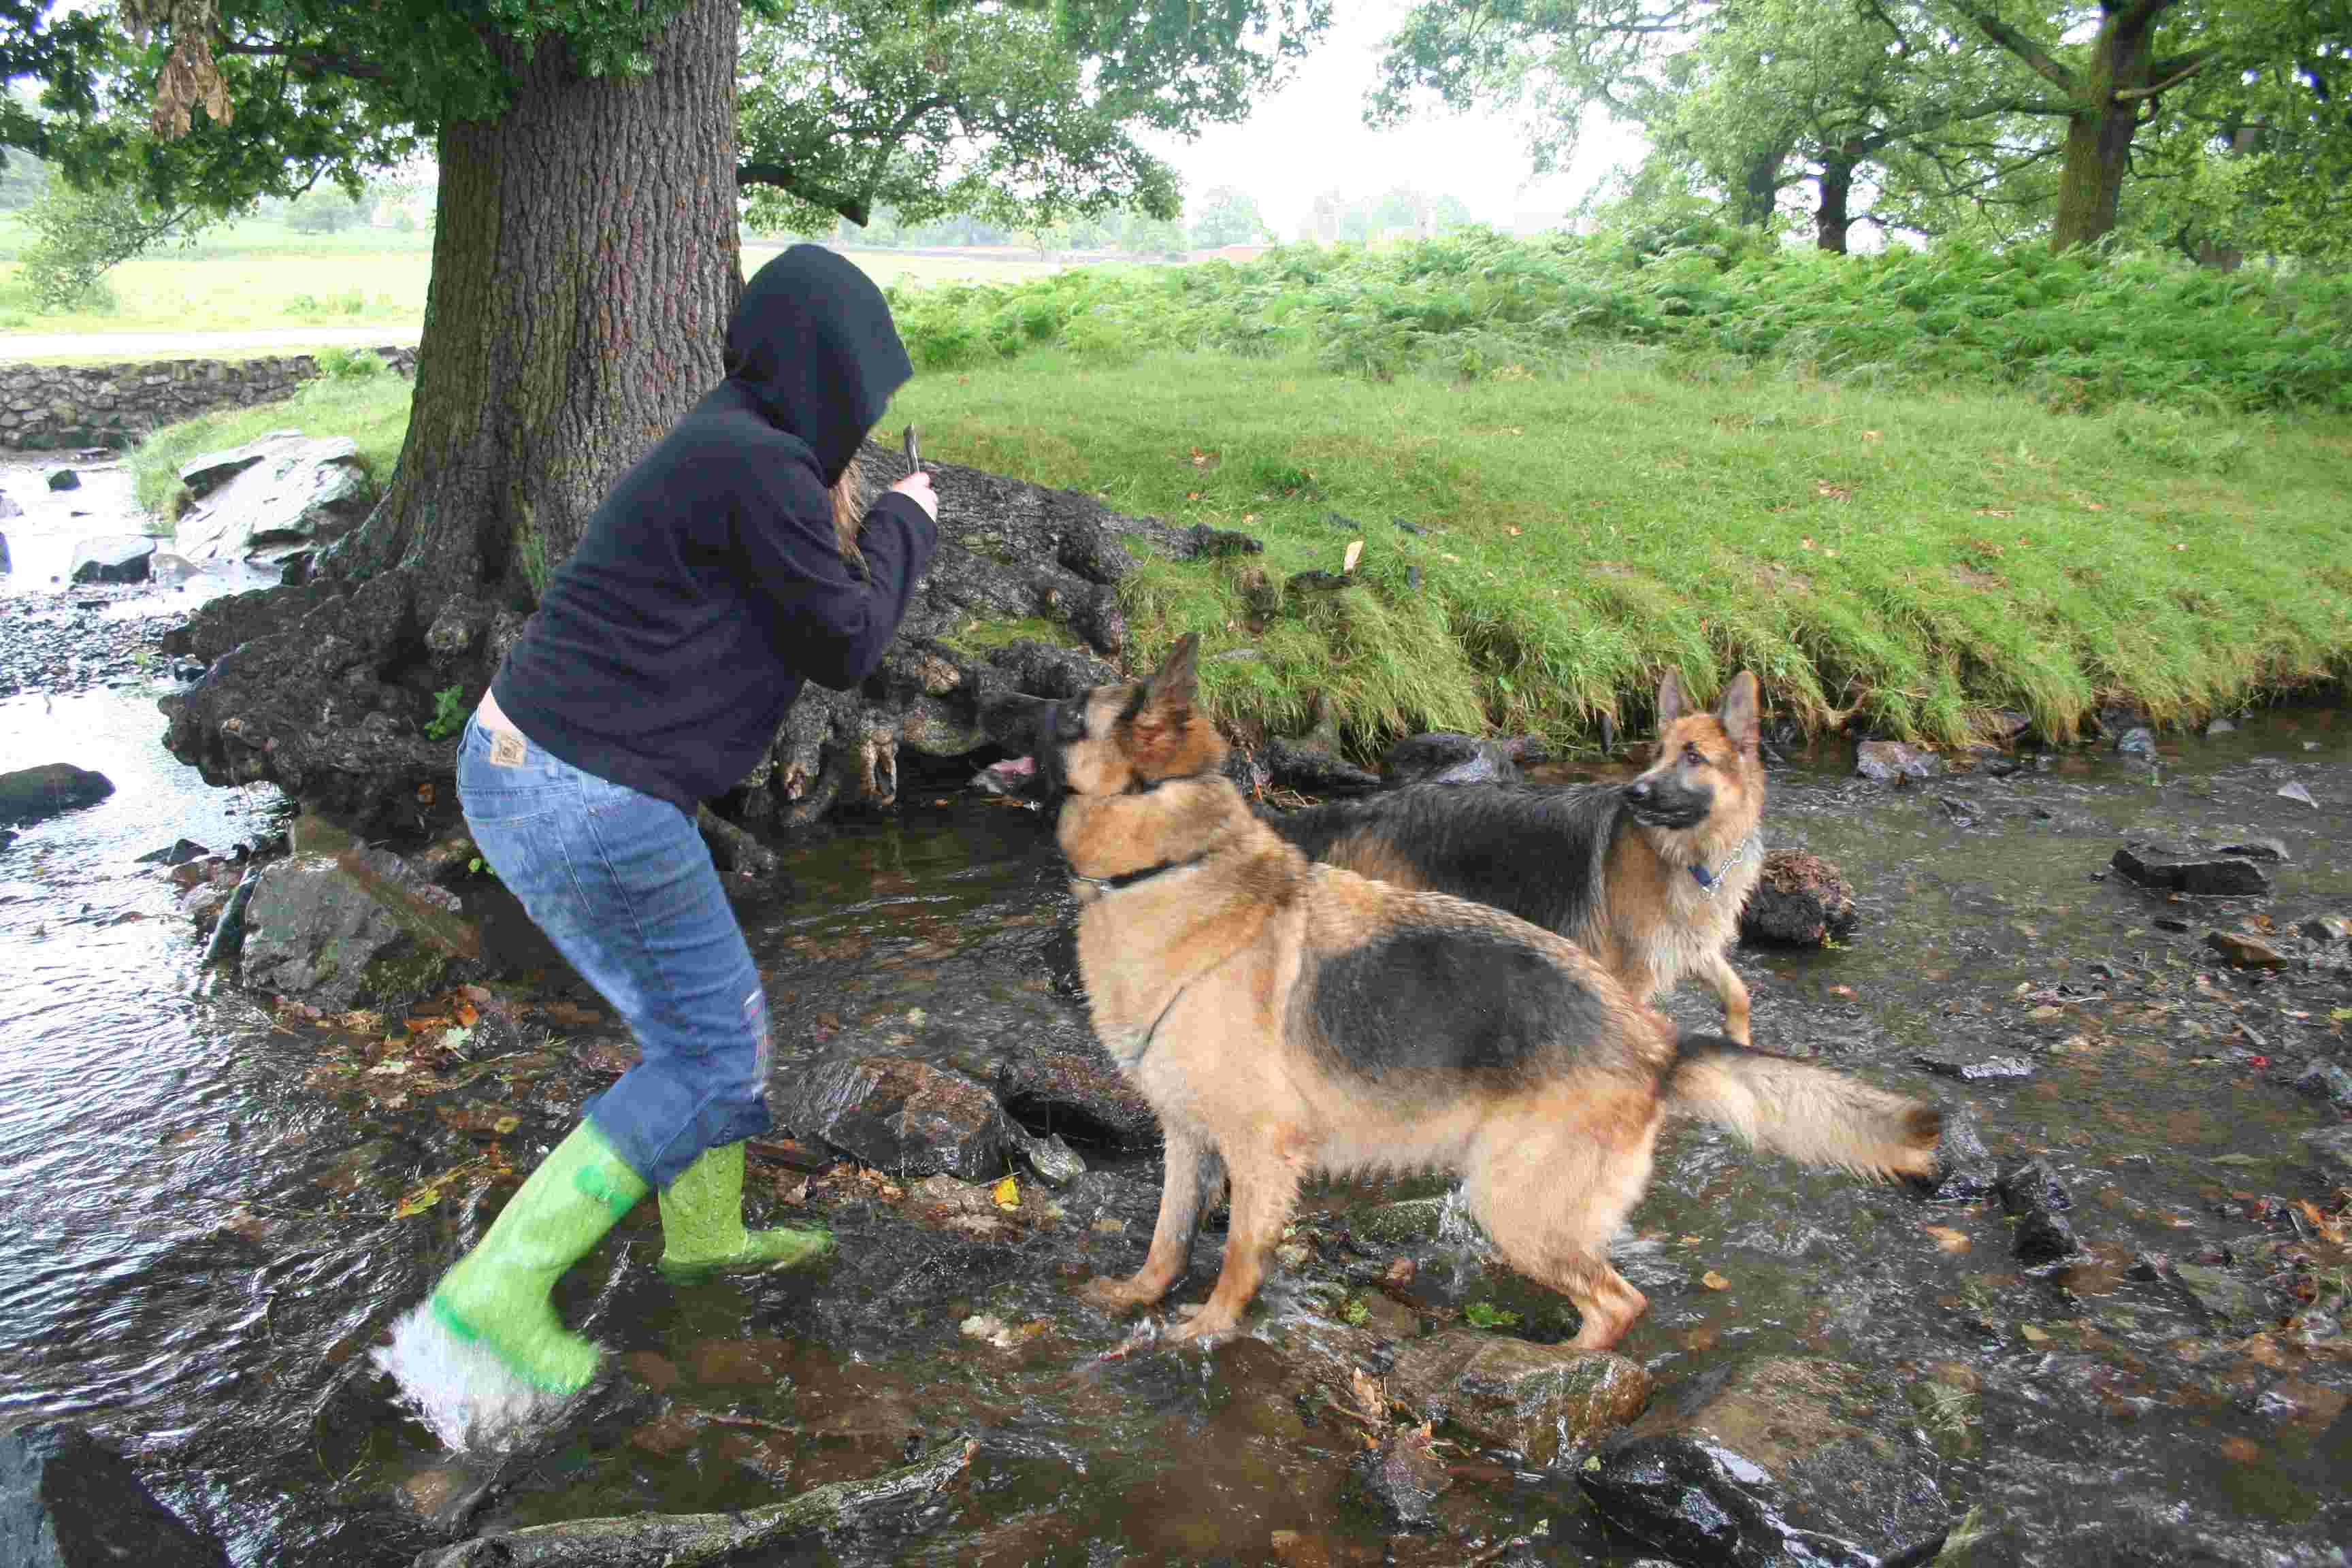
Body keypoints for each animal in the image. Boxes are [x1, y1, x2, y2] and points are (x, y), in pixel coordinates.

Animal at [1270, 672, 1768, 1048]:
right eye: (1658, 755)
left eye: (1693, 756)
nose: (1634, 792)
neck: (1688, 856)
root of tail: (1367, 807)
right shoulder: (1627, 978)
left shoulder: (1689, 945)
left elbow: (1738, 992)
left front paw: (1739, 1038)